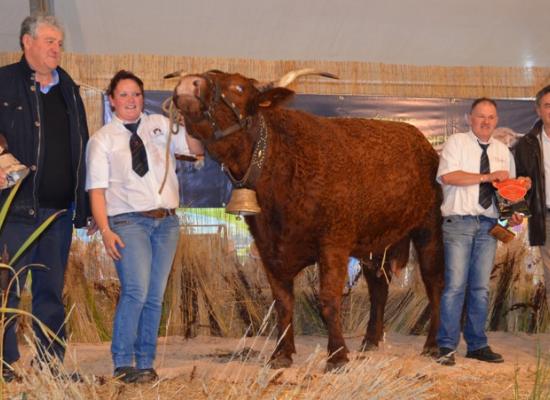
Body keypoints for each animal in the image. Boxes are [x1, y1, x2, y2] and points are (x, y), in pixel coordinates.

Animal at [170, 69, 446, 372]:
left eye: (239, 88)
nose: (189, 84)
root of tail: (420, 139)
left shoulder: (333, 244)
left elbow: (328, 299)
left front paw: (337, 356)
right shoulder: (268, 248)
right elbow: (282, 302)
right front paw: (281, 354)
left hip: (429, 229)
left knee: (434, 283)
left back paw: (433, 345)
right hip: (375, 242)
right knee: (379, 286)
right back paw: (370, 341)